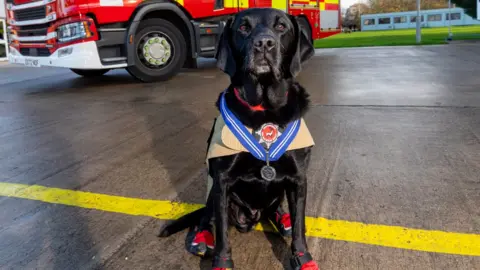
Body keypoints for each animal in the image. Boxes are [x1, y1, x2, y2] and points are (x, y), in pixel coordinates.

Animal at [159, 7, 316, 268]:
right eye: (243, 27)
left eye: (281, 26)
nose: (264, 43)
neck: (264, 110)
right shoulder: (222, 180)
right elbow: (222, 232)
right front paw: (222, 261)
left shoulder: (298, 179)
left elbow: (299, 227)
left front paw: (302, 258)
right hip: (214, 190)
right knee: (207, 216)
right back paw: (202, 238)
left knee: (278, 209)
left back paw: (282, 219)